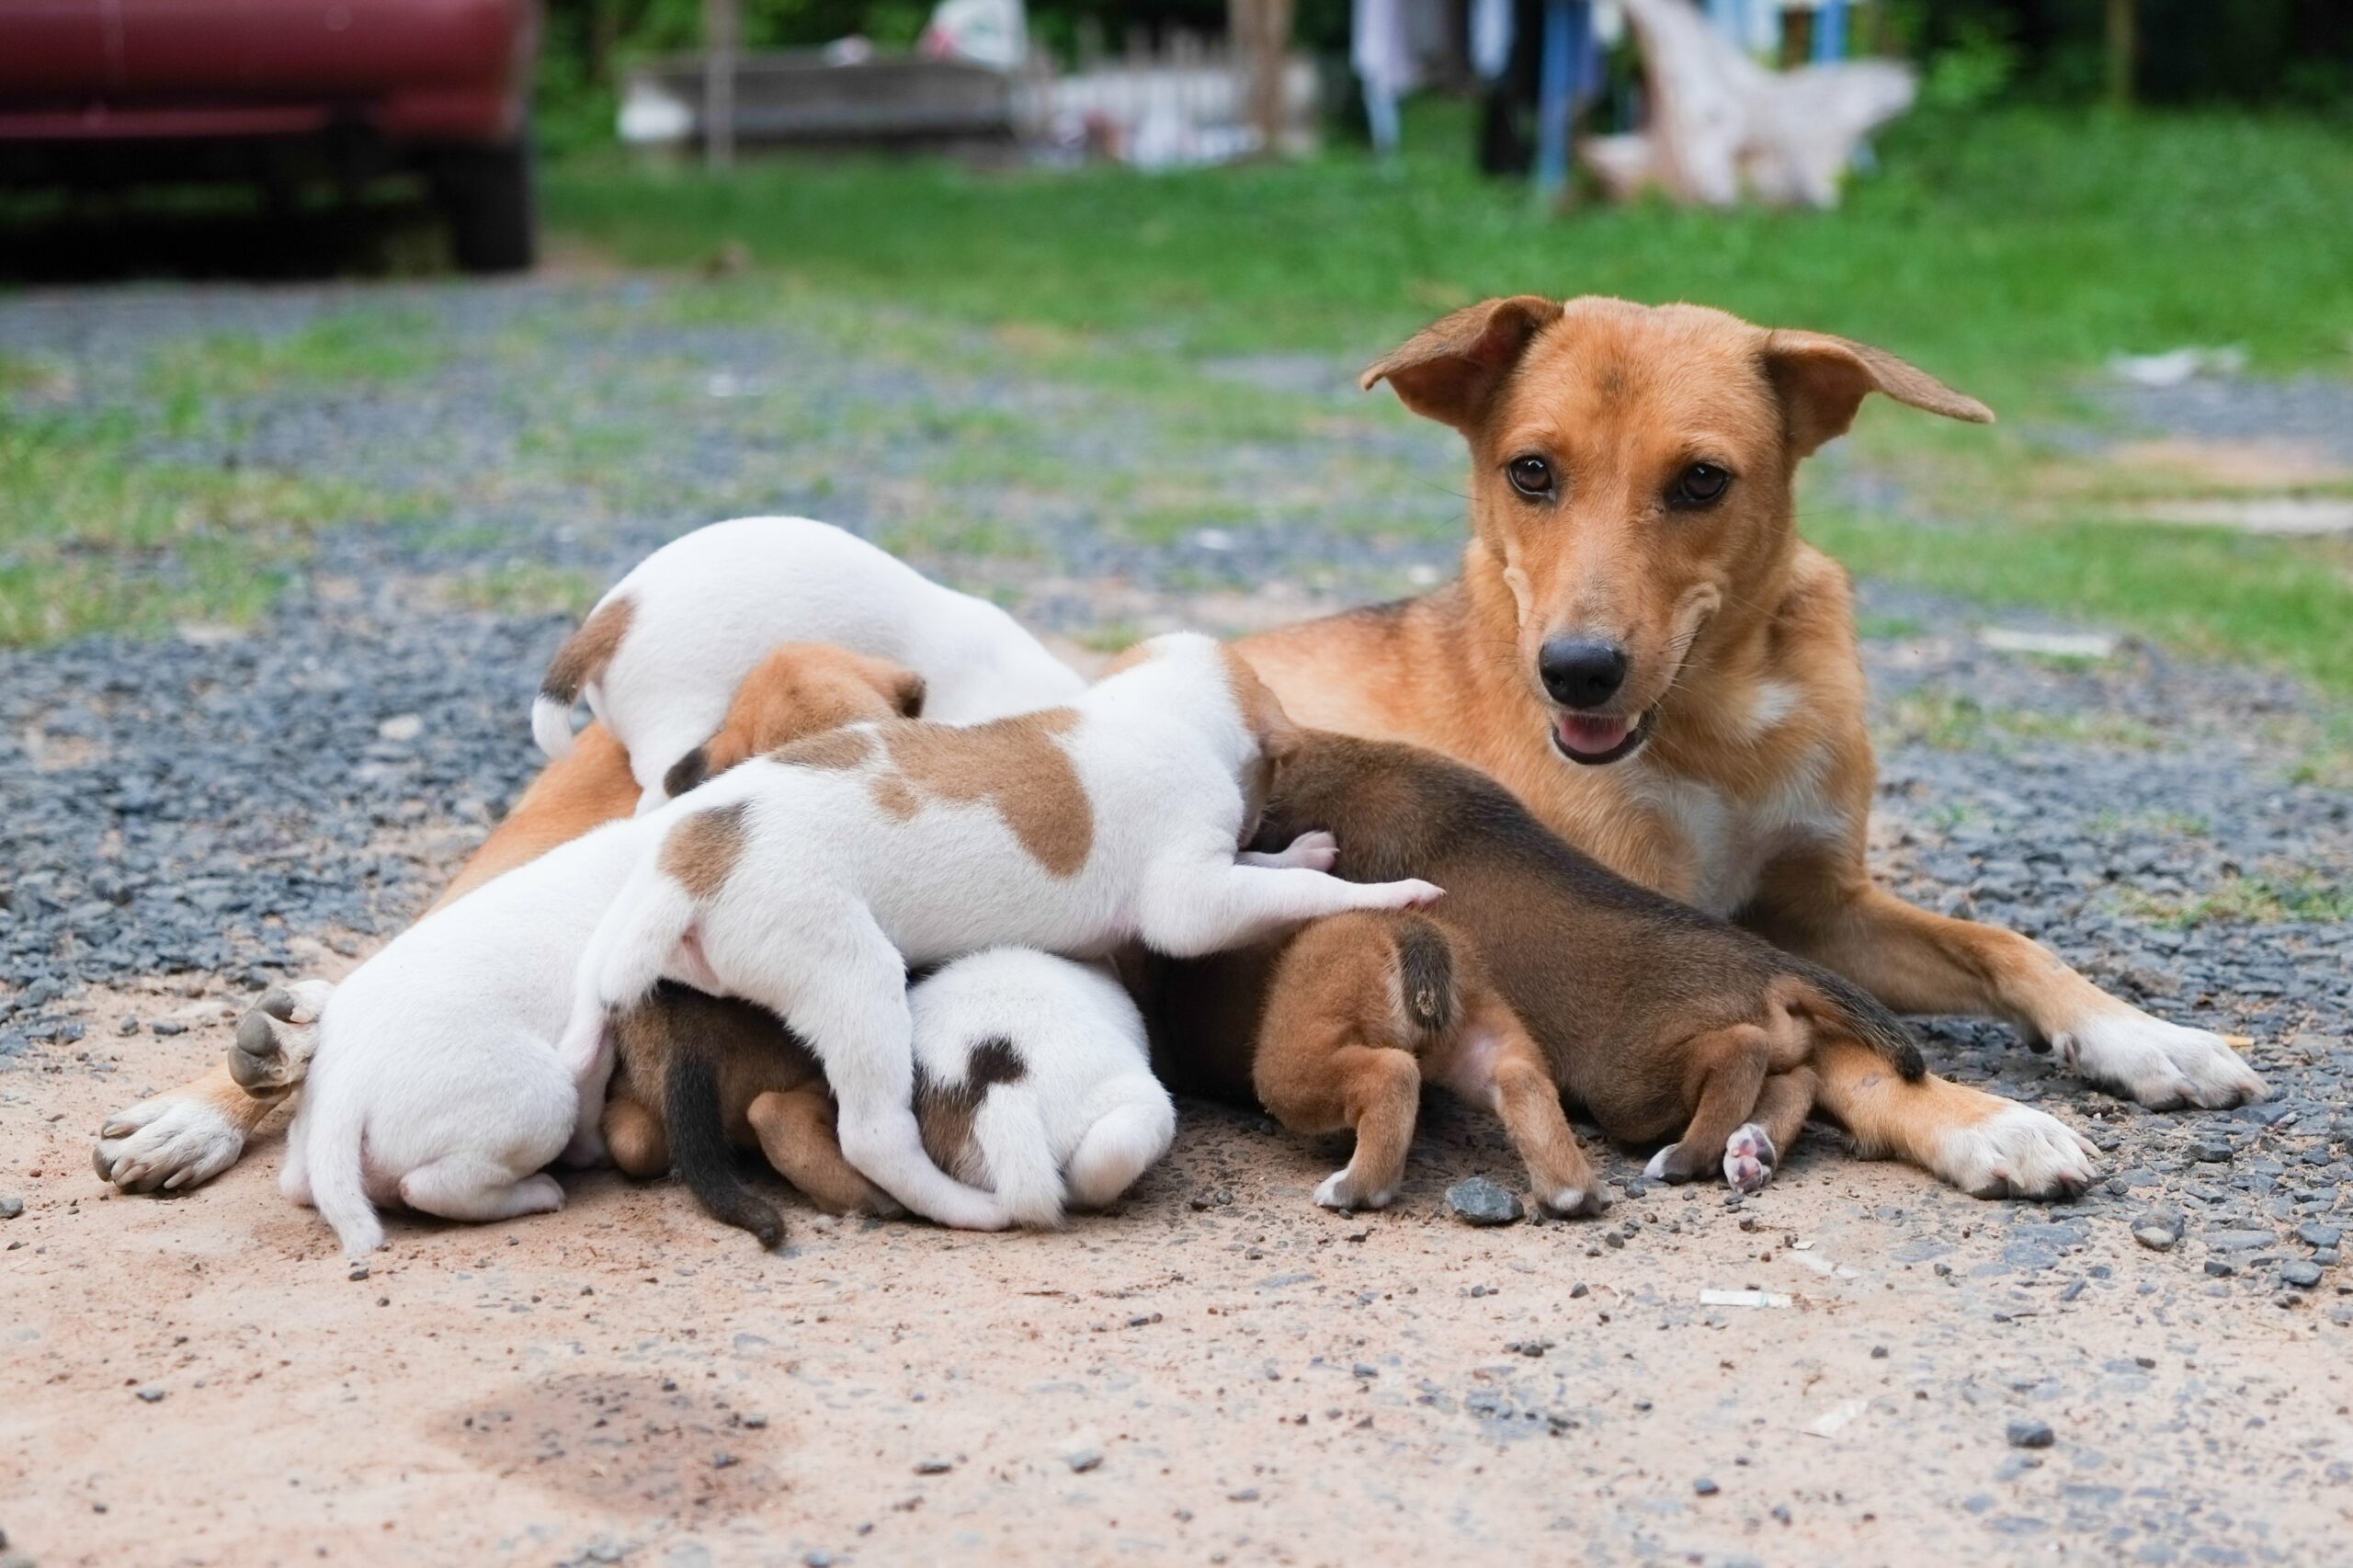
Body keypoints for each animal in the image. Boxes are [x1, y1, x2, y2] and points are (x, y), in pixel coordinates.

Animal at [1148, 730, 2032, 1205]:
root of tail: (1773, 969)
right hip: (1734, 1061)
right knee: (1793, 1082)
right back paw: (1746, 1152)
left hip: (1627, 1082)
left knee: (1738, 1058)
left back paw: (1688, 1157)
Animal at [1223, 296, 2249, 1196]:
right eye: (1530, 471)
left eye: (1702, 480)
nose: (1577, 670)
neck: (1717, 726)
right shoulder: (1663, 919)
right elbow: (1851, 1051)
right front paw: (1984, 1120)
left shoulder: (1821, 907)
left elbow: (2005, 945)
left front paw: (2143, 1035)